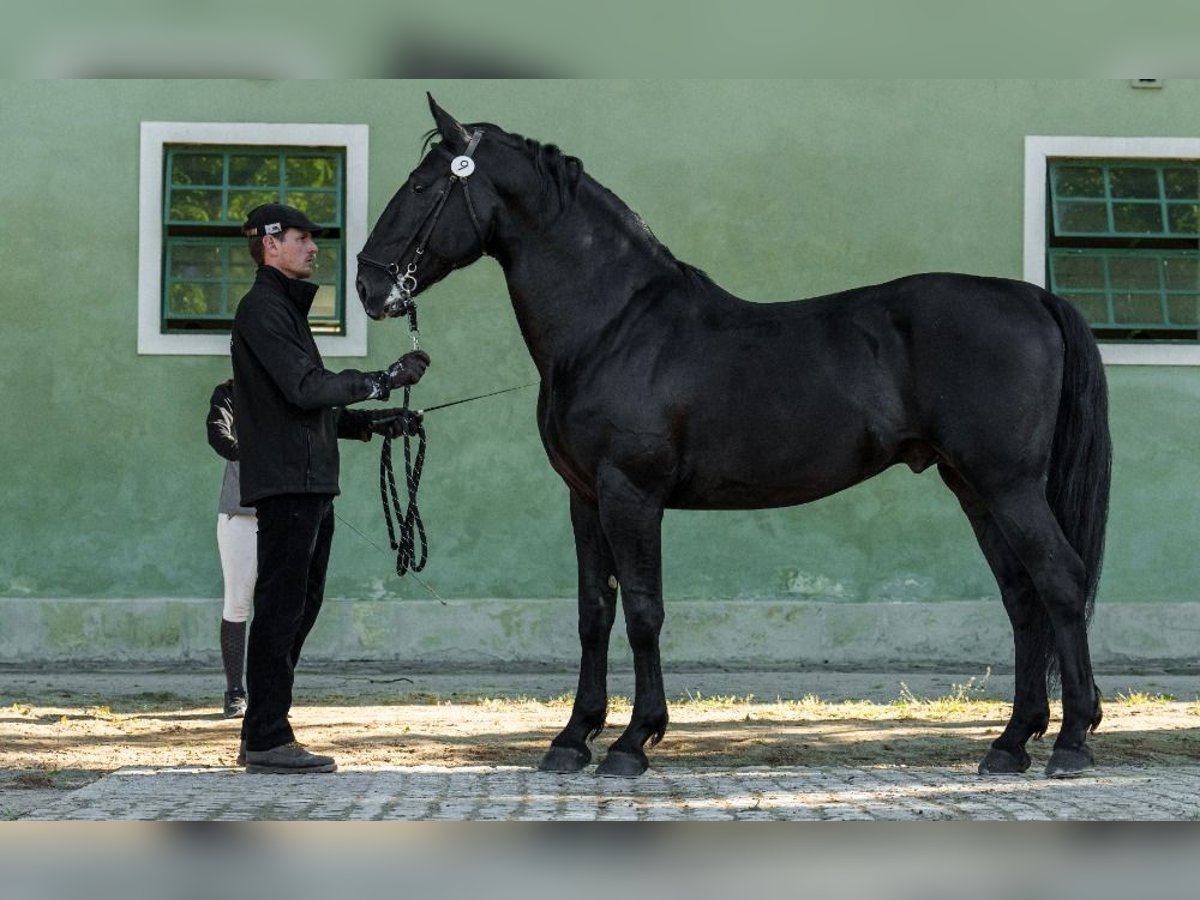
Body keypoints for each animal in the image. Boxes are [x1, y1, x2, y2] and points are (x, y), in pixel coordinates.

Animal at [355, 95, 1113, 777]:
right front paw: (571, 740)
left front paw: (633, 744)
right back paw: (1010, 744)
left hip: (1007, 484)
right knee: (1022, 597)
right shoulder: (585, 497)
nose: (368, 285)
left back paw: (1072, 742)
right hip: (974, 488)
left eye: (420, 186)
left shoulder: (632, 493)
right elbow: (593, 612)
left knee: (1060, 581)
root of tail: (1034, 297)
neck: (615, 326)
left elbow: (643, 611)